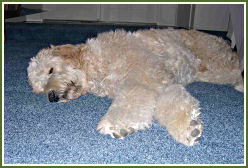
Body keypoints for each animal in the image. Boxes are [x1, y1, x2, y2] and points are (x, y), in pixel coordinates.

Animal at [26, 28, 242, 146]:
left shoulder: (143, 75)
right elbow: (167, 101)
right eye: (39, 89)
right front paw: (188, 127)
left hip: (216, 62)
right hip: (211, 72)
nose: (51, 96)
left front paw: (117, 124)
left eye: (50, 70)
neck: (96, 63)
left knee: (236, 69)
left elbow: (129, 102)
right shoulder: (159, 81)